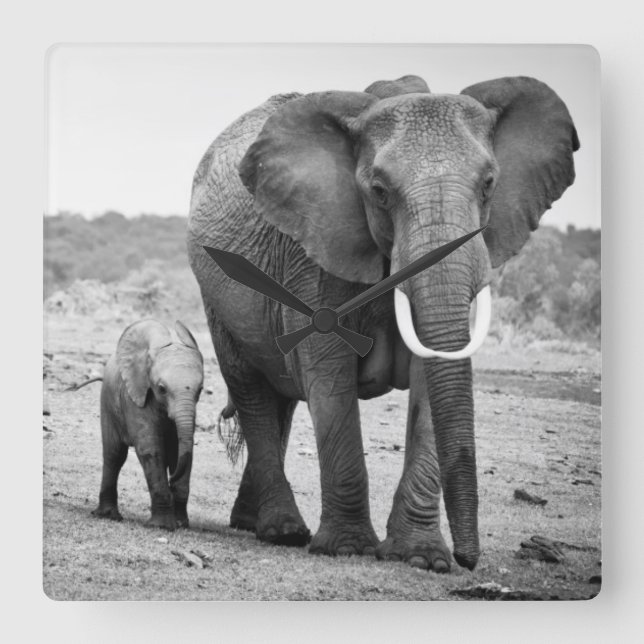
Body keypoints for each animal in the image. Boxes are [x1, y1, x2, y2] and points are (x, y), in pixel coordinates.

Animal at [86, 319, 204, 530]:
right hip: (108, 402)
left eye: (201, 389)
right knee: (114, 455)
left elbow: (182, 452)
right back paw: (109, 516)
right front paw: (161, 526)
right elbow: (151, 449)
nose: (172, 479)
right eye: (161, 389)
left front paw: (181, 524)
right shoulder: (135, 396)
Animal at [187, 74, 579, 571]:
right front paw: (348, 549)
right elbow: (329, 377)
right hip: (214, 293)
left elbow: (431, 380)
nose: (468, 561)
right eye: (379, 191)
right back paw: (283, 532)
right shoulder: (315, 254)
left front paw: (423, 558)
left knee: (282, 397)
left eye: (489, 184)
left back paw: (251, 524)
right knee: (252, 388)